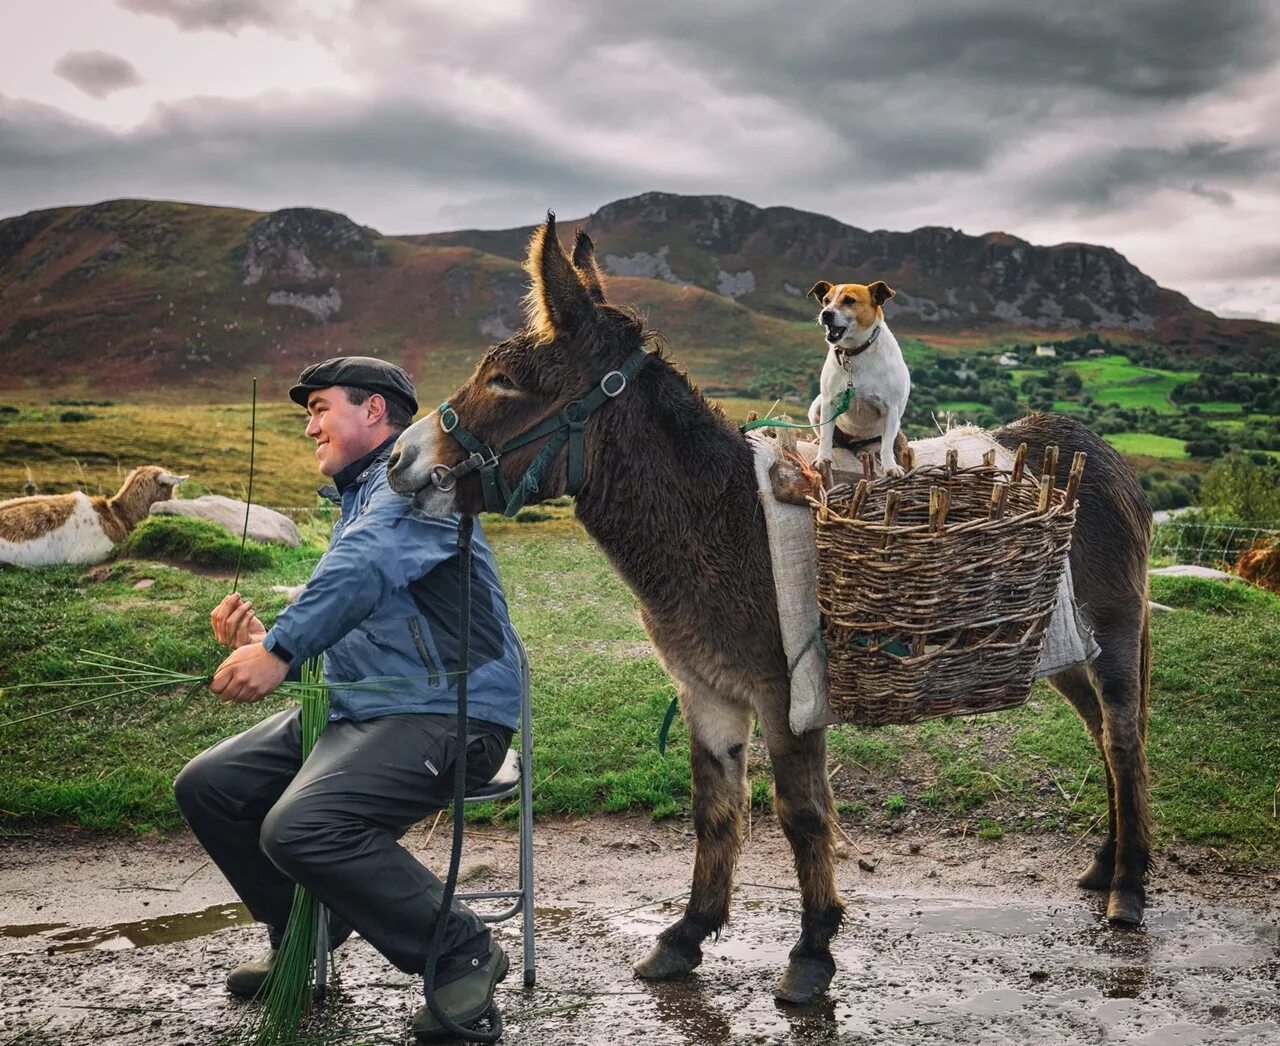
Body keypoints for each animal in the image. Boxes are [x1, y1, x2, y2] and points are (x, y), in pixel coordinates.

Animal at [808, 275, 911, 476]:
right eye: (826, 300)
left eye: (849, 300)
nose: (826, 313)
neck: (854, 351)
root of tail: (851, 443)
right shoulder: (828, 402)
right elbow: (826, 437)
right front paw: (822, 458)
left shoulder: (891, 409)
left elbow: (887, 446)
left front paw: (890, 466)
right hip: (817, 406)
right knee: (829, 437)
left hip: (893, 426)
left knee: (877, 445)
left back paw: (865, 451)